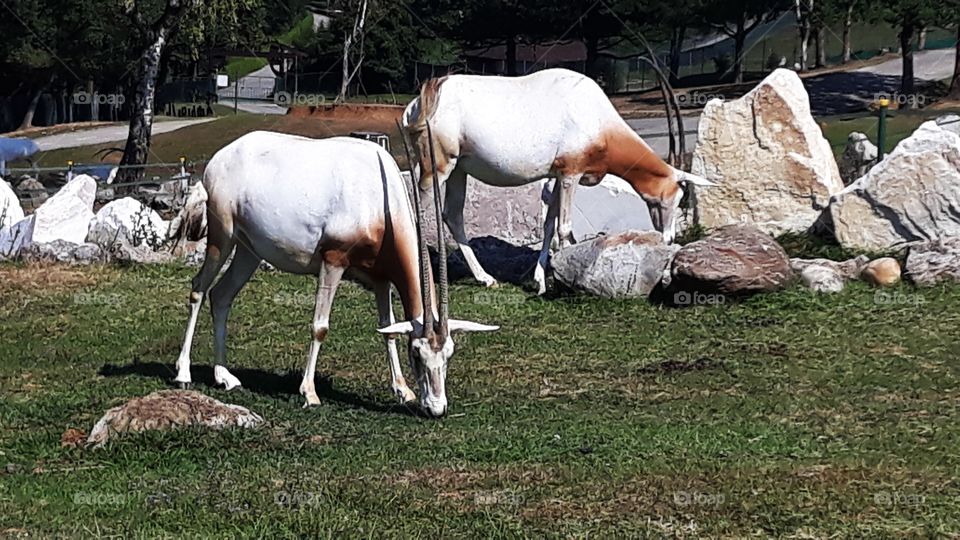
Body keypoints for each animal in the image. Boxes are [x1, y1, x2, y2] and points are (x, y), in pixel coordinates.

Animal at [172, 130, 498, 417]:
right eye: (417, 353)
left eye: (449, 354)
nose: (437, 409)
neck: (378, 197)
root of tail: (218, 159)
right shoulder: (333, 261)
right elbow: (320, 327)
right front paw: (309, 393)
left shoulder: (381, 278)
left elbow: (388, 328)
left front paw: (402, 390)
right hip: (222, 238)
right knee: (199, 288)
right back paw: (184, 373)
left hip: (248, 251)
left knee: (221, 296)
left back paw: (224, 376)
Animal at [401, 68, 715, 294]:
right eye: (676, 196)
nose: (669, 238)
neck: (596, 116)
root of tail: (420, 103)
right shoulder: (570, 175)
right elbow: (564, 227)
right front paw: (565, 283)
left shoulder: (555, 175)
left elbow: (549, 225)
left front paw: (541, 281)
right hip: (438, 167)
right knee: (418, 210)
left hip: (459, 169)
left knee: (452, 214)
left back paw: (485, 278)